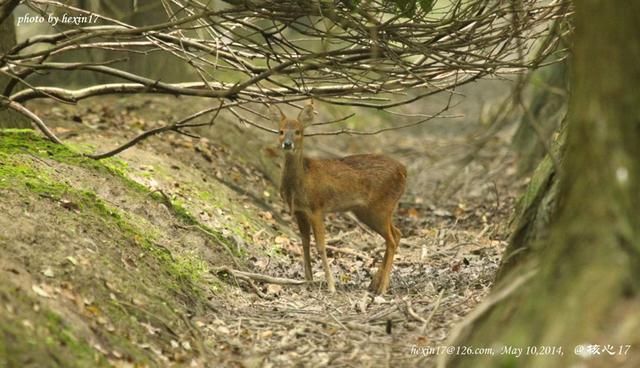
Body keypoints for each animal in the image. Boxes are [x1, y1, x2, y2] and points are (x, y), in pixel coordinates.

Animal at [270, 102, 404, 294]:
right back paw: (374, 284)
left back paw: (382, 288)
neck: (302, 180)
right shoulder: (300, 211)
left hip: (380, 208)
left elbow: (320, 246)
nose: (287, 144)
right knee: (397, 234)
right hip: (371, 210)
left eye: (298, 131)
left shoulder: (317, 207)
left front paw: (331, 285)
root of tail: (404, 171)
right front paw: (308, 280)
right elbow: (304, 242)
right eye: (280, 131)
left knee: (392, 240)